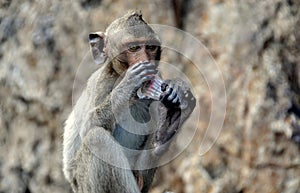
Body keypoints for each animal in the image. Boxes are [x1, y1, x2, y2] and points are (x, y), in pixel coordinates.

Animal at [62, 10, 196, 193]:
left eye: (150, 47)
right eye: (134, 48)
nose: (146, 60)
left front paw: (171, 118)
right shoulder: (103, 83)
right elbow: (86, 128)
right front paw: (130, 83)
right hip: (85, 186)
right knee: (96, 139)